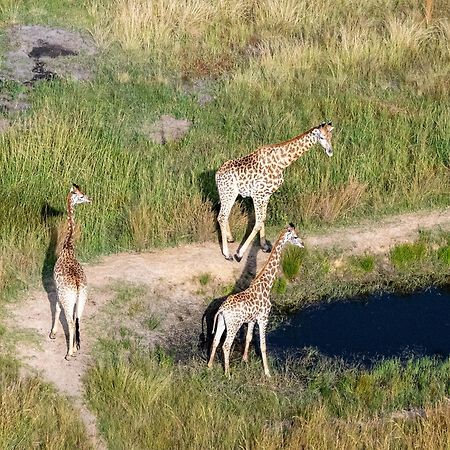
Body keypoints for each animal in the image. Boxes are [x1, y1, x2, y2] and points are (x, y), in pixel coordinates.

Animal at [209, 224, 304, 376]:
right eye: (295, 236)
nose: (302, 244)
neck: (267, 284)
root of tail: (222, 309)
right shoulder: (263, 318)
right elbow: (263, 346)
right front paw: (267, 372)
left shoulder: (252, 319)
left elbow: (248, 338)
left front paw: (245, 360)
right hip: (234, 325)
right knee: (226, 345)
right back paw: (227, 374)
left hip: (222, 323)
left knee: (215, 340)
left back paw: (209, 366)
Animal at [216, 121, 332, 262]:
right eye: (321, 137)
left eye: (331, 136)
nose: (330, 151)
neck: (282, 162)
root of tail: (217, 174)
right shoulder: (258, 194)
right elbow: (258, 221)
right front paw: (239, 254)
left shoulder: (266, 195)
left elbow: (263, 219)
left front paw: (264, 246)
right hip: (228, 193)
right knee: (221, 217)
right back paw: (227, 254)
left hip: (227, 194)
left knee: (224, 214)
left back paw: (230, 238)